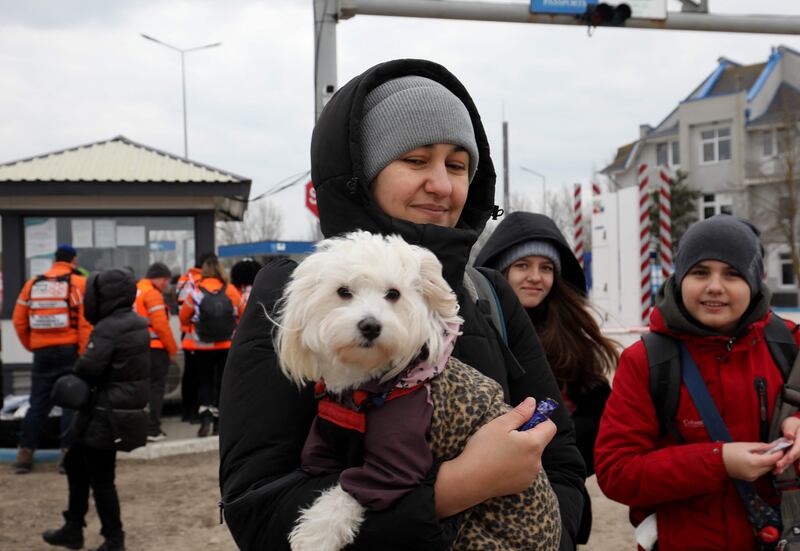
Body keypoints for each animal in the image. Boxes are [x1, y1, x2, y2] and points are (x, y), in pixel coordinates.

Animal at [276, 232, 462, 551]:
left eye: (394, 294)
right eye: (343, 291)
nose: (371, 325)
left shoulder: (397, 460)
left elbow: (350, 492)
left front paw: (317, 533)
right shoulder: (322, 446)